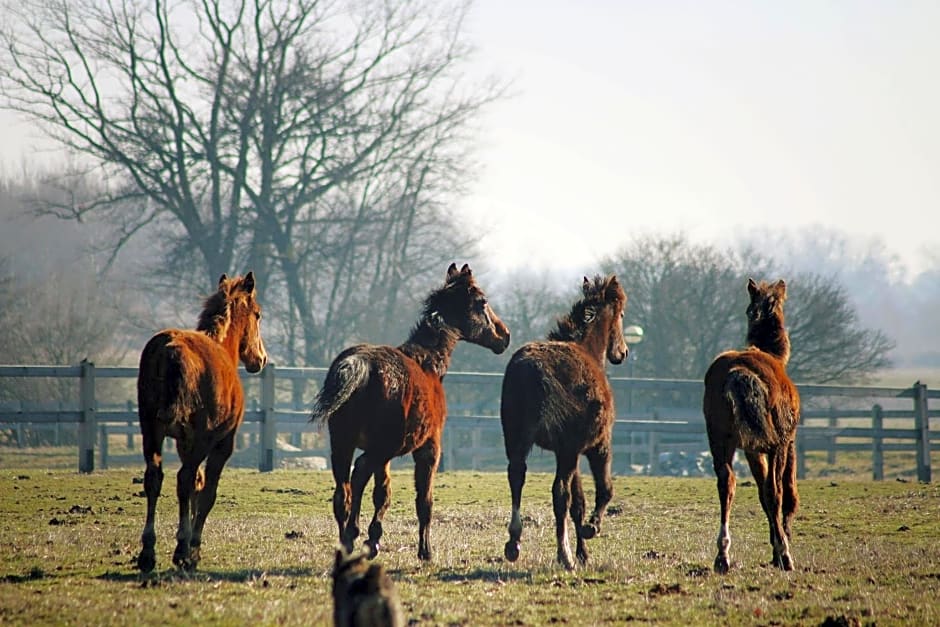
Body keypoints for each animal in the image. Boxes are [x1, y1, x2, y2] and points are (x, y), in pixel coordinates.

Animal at [132, 272, 266, 572]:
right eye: (258, 315)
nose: (261, 359)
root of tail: (169, 350)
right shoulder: (222, 443)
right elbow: (207, 492)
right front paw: (194, 548)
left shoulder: (183, 442)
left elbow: (195, 485)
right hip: (202, 439)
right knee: (183, 479)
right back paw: (183, 549)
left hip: (151, 431)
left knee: (154, 478)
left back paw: (148, 551)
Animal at [312, 264, 510, 564]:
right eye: (482, 302)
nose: (504, 335)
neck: (429, 364)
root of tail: (359, 364)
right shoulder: (429, 446)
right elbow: (423, 501)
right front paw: (424, 550)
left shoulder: (384, 456)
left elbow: (383, 492)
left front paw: (373, 538)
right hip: (383, 446)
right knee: (359, 474)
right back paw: (355, 535)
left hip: (342, 444)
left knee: (342, 493)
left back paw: (345, 544)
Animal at [500, 274, 624, 568]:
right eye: (622, 314)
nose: (623, 352)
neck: (588, 349)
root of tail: (531, 371)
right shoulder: (595, 445)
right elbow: (603, 489)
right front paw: (591, 529)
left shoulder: (569, 451)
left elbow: (578, 503)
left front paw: (584, 553)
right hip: (567, 450)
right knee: (559, 493)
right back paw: (564, 554)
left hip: (518, 441)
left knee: (517, 476)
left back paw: (514, 543)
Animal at [704, 280, 800, 576]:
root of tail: (737, 372)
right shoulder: (787, 440)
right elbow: (783, 492)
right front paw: (779, 548)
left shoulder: (750, 448)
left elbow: (760, 492)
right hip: (775, 442)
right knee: (775, 491)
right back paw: (785, 554)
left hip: (719, 437)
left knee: (727, 483)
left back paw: (722, 555)